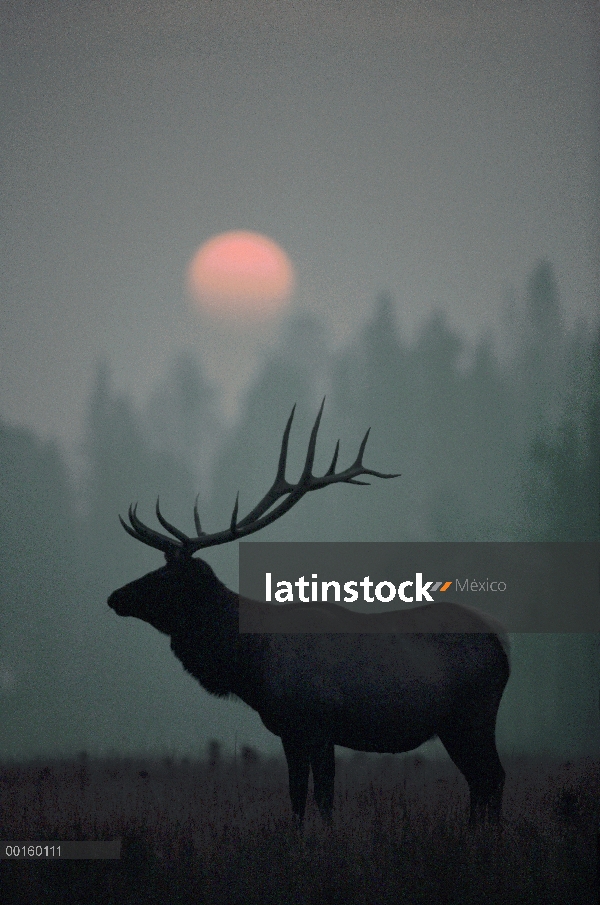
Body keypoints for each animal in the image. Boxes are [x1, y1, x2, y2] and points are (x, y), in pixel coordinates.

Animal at [105, 400, 508, 828]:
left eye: (166, 576)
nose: (115, 597)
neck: (251, 664)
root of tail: (501, 640)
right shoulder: (288, 730)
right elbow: (296, 796)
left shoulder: (318, 722)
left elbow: (324, 798)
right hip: (454, 725)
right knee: (479, 781)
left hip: (475, 714)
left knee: (493, 776)